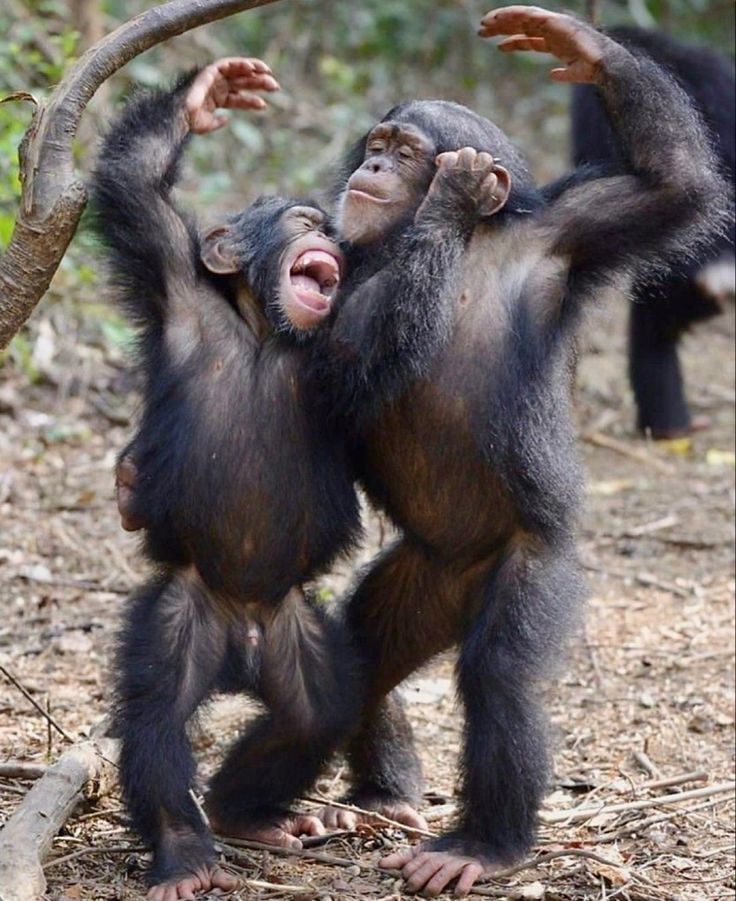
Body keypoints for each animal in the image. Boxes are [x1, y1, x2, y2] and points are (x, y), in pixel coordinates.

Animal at [95, 56, 504, 900]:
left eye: (325, 226)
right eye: (304, 221)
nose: (326, 235)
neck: (264, 330)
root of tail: (243, 636)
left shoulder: (340, 351)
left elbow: (377, 349)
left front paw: (448, 199)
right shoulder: (167, 275)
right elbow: (132, 187)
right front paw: (208, 96)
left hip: (294, 631)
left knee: (316, 712)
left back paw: (249, 814)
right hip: (186, 611)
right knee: (155, 713)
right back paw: (184, 848)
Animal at [304, 5, 732, 892]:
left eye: (402, 149)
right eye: (377, 142)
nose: (370, 163)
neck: (466, 249)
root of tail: (457, 579)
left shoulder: (577, 229)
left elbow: (672, 185)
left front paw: (576, 44)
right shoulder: (333, 262)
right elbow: (343, 368)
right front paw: (452, 194)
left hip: (526, 560)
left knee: (498, 672)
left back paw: (481, 842)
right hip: (419, 578)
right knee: (359, 654)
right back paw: (382, 794)